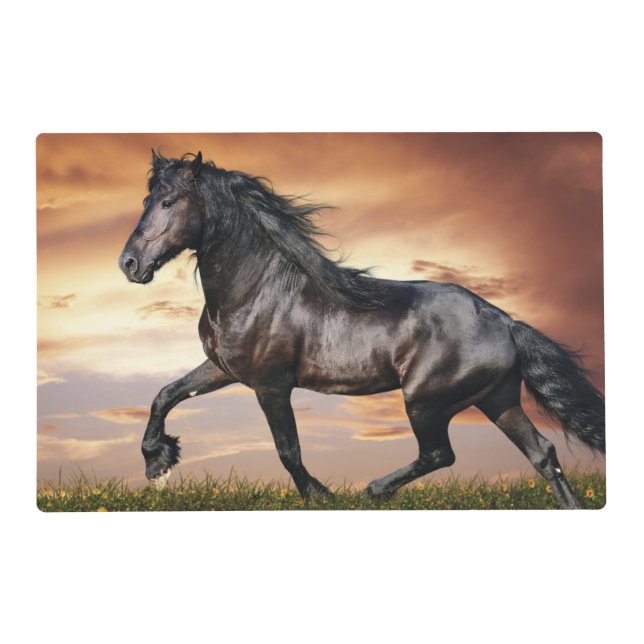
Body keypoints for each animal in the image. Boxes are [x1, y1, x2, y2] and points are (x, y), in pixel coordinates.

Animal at [118, 150, 605, 509]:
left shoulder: (271, 385)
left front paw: (321, 495)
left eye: (168, 202)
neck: (257, 289)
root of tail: (504, 321)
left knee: (440, 453)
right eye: (145, 201)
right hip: (496, 399)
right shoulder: (224, 369)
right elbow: (165, 394)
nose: (129, 264)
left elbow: (288, 451)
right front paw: (158, 462)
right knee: (543, 455)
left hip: (425, 401)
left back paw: (372, 490)